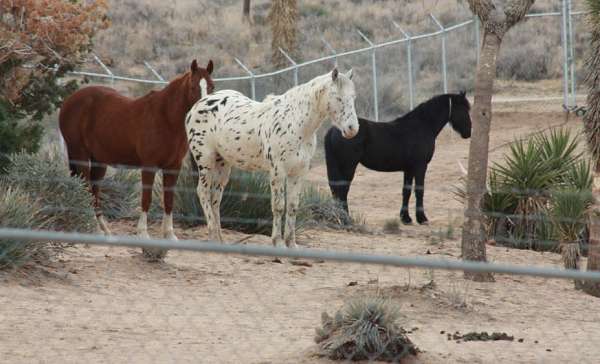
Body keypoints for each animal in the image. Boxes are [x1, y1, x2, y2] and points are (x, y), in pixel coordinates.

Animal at [59, 60, 214, 240]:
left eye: (212, 86)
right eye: (193, 86)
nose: (204, 112)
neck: (165, 118)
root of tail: (69, 101)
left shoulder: (173, 167)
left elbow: (169, 200)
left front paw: (169, 235)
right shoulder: (149, 166)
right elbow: (146, 199)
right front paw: (143, 233)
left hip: (99, 161)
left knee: (95, 191)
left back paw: (104, 230)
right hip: (80, 155)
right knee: (86, 188)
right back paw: (96, 229)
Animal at [185, 68, 358, 247]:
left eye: (353, 97)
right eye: (337, 97)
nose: (352, 129)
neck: (296, 123)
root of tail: (200, 102)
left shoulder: (298, 173)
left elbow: (293, 206)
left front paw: (291, 244)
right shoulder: (278, 171)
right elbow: (279, 206)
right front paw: (278, 242)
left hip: (223, 164)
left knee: (215, 198)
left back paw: (219, 240)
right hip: (206, 161)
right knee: (203, 192)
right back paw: (213, 236)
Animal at [326, 91, 472, 225]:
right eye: (463, 110)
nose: (468, 132)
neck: (422, 126)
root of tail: (334, 130)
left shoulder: (409, 169)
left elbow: (406, 191)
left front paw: (406, 218)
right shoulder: (420, 166)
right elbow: (419, 190)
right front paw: (422, 218)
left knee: (336, 190)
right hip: (348, 166)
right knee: (342, 190)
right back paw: (346, 219)